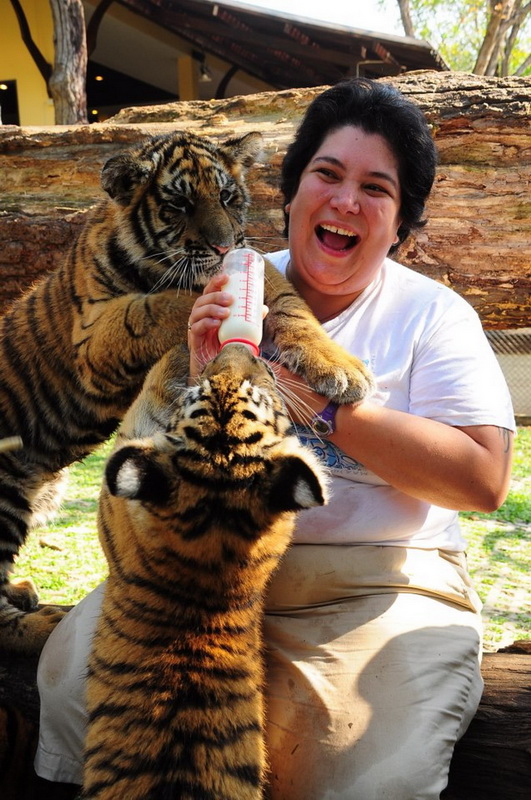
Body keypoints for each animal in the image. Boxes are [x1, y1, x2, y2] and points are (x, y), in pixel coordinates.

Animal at [0, 129, 373, 654]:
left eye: (227, 196)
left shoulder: (263, 271)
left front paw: (341, 368)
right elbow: (166, 302)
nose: (223, 246)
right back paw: (43, 623)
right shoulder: (92, 337)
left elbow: (291, 307)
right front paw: (205, 298)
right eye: (179, 204)